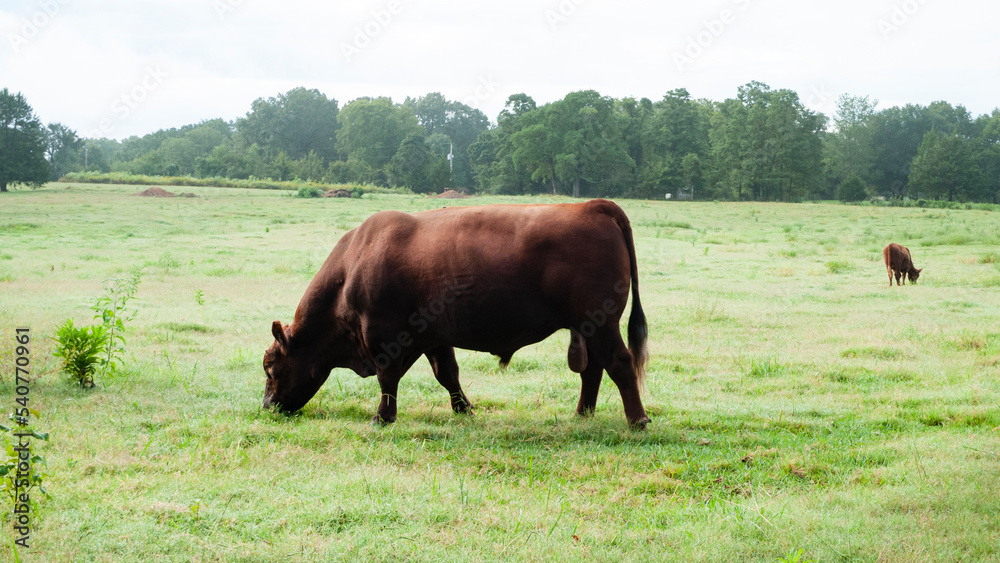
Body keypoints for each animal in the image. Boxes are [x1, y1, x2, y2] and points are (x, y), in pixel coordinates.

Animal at [266, 198, 652, 428]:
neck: (353, 265)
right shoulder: (434, 337)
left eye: (270, 367)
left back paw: (638, 420)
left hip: (601, 323)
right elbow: (447, 374)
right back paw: (583, 412)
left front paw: (382, 417)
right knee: (594, 369)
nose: (267, 405)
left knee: (619, 362)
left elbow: (387, 380)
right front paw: (464, 408)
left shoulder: (383, 338)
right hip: (588, 327)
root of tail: (591, 205)